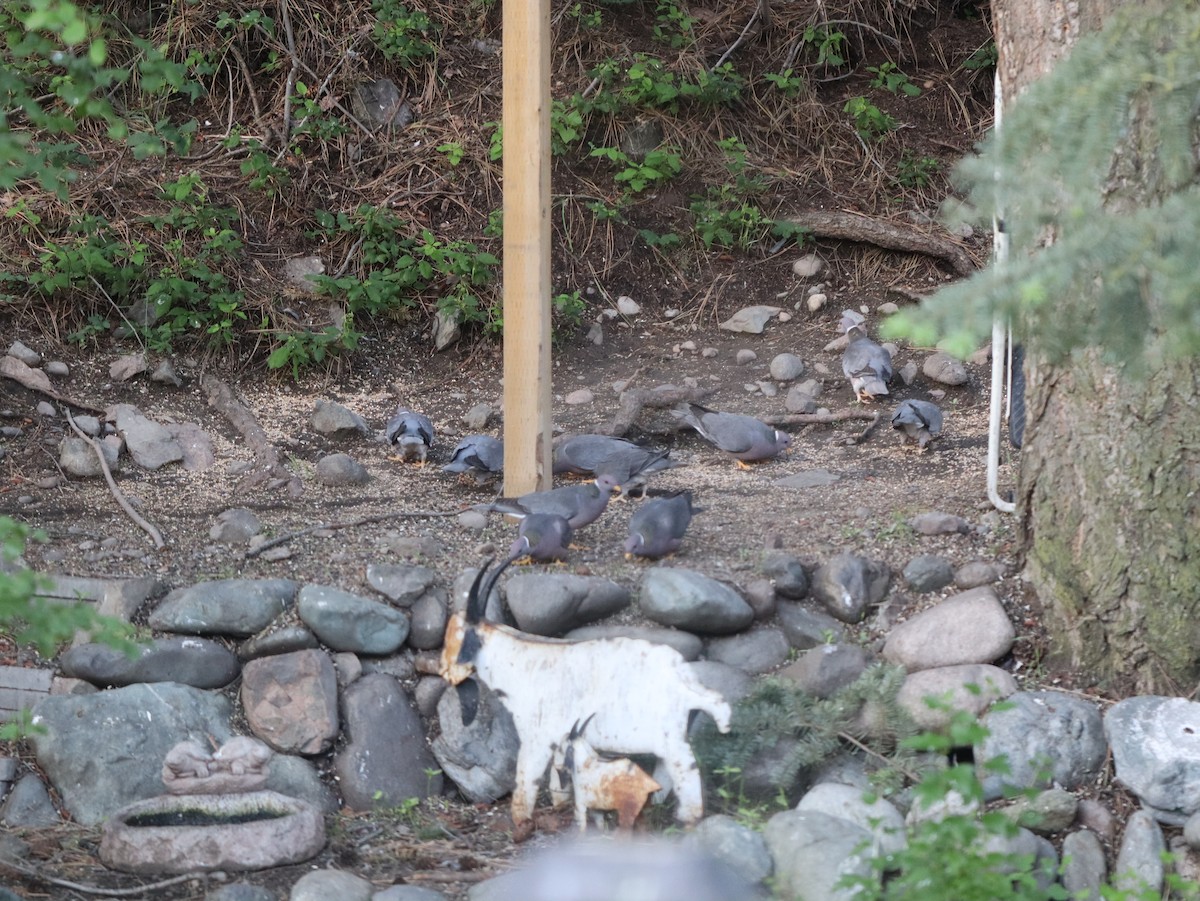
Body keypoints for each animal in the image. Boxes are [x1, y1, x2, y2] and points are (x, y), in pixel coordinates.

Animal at [436, 561, 724, 844]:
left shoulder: (536, 738)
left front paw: (521, 823)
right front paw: (560, 809)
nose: (444, 670)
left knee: (687, 770)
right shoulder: (560, 738)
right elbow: (557, 775)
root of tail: (686, 680)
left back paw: (688, 820)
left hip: (672, 739)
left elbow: (526, 779)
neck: (520, 663)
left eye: (458, 636)